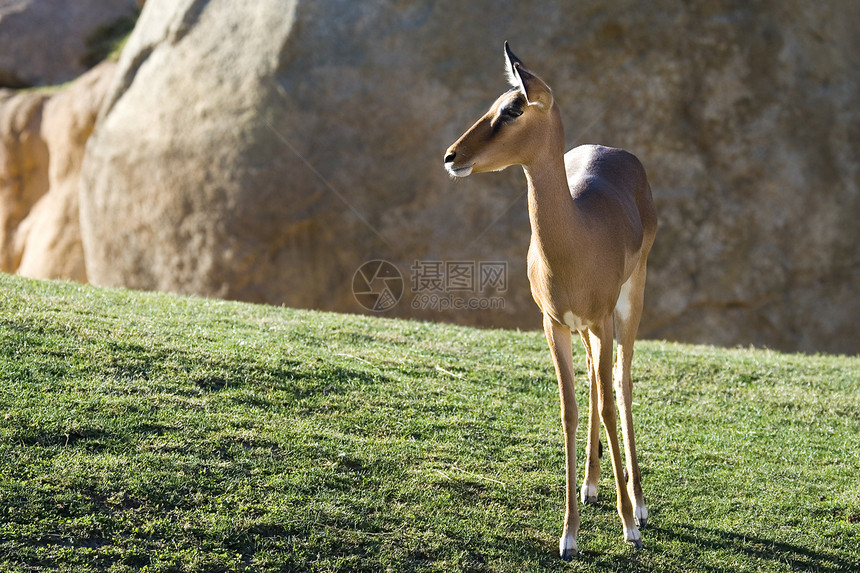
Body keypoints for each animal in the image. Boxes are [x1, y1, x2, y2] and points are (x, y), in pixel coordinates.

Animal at [444, 42, 660, 556]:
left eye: (513, 108)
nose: (451, 156)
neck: (578, 237)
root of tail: (614, 151)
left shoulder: (602, 319)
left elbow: (608, 403)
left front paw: (629, 526)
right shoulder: (555, 324)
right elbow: (569, 411)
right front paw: (569, 534)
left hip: (629, 305)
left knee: (620, 383)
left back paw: (639, 503)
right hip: (586, 329)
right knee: (597, 384)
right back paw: (592, 485)